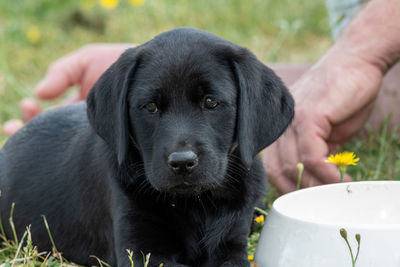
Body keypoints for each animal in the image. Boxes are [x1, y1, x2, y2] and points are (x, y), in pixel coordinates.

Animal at [0, 28, 294, 266]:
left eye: (211, 102)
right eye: (150, 107)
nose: (182, 162)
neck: (196, 205)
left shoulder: (231, 242)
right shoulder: (140, 251)